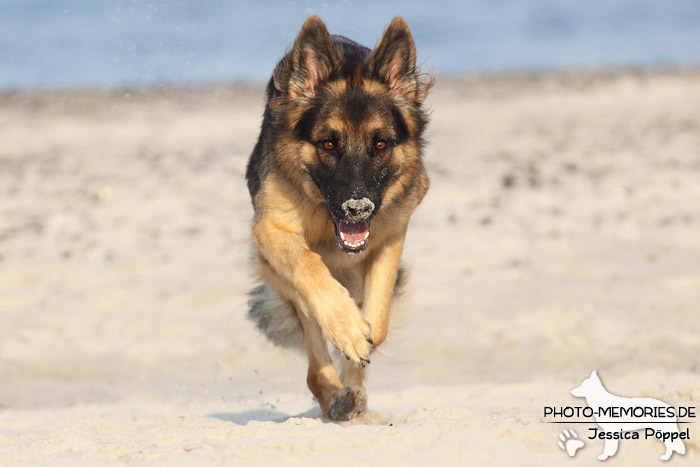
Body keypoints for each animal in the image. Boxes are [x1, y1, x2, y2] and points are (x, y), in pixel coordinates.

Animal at [246, 16, 432, 422]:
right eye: (328, 144)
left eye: (381, 144)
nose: (357, 208)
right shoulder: (271, 230)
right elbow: (308, 265)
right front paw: (345, 327)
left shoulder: (391, 234)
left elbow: (377, 323)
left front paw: (358, 342)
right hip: (277, 273)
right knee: (314, 355)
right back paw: (334, 395)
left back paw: (351, 393)